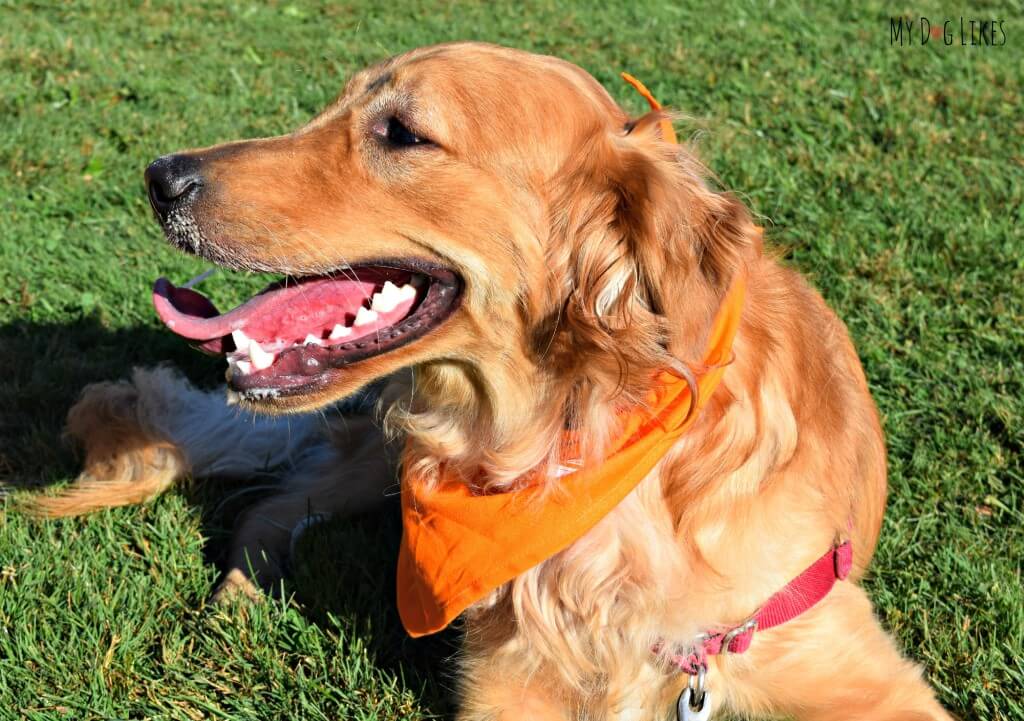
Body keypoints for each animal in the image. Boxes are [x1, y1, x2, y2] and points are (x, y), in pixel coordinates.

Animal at [29, 42, 950, 716]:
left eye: (401, 132)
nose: (160, 177)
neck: (569, 438)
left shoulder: (829, 656)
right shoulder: (507, 680)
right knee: (274, 504)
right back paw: (236, 602)